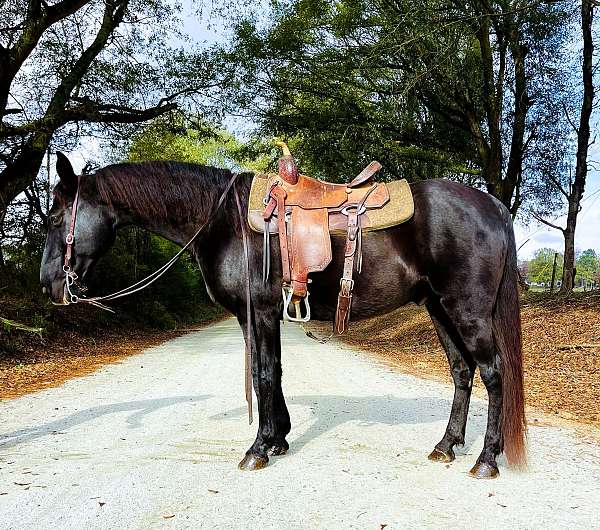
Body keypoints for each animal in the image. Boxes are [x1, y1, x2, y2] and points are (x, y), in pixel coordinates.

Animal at [41, 152, 524, 474]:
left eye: (56, 218)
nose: (48, 284)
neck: (223, 221)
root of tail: (492, 205)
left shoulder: (258, 313)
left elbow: (262, 375)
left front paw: (258, 448)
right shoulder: (258, 317)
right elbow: (271, 370)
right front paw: (278, 439)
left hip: (467, 309)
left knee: (493, 372)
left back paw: (486, 458)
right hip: (439, 309)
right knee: (462, 372)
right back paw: (447, 445)